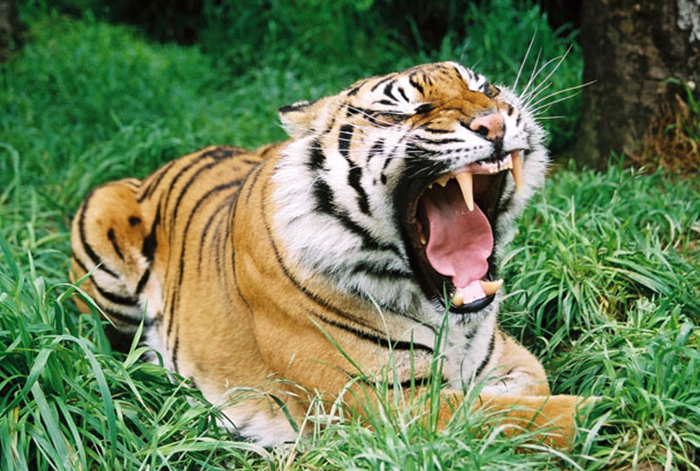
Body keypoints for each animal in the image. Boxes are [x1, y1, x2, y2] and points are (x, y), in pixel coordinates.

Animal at [70, 62, 588, 448]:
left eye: (485, 88)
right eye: (403, 111)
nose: (495, 121)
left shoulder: (503, 360)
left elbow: (533, 388)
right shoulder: (394, 406)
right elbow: (540, 417)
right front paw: (606, 417)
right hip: (103, 229)